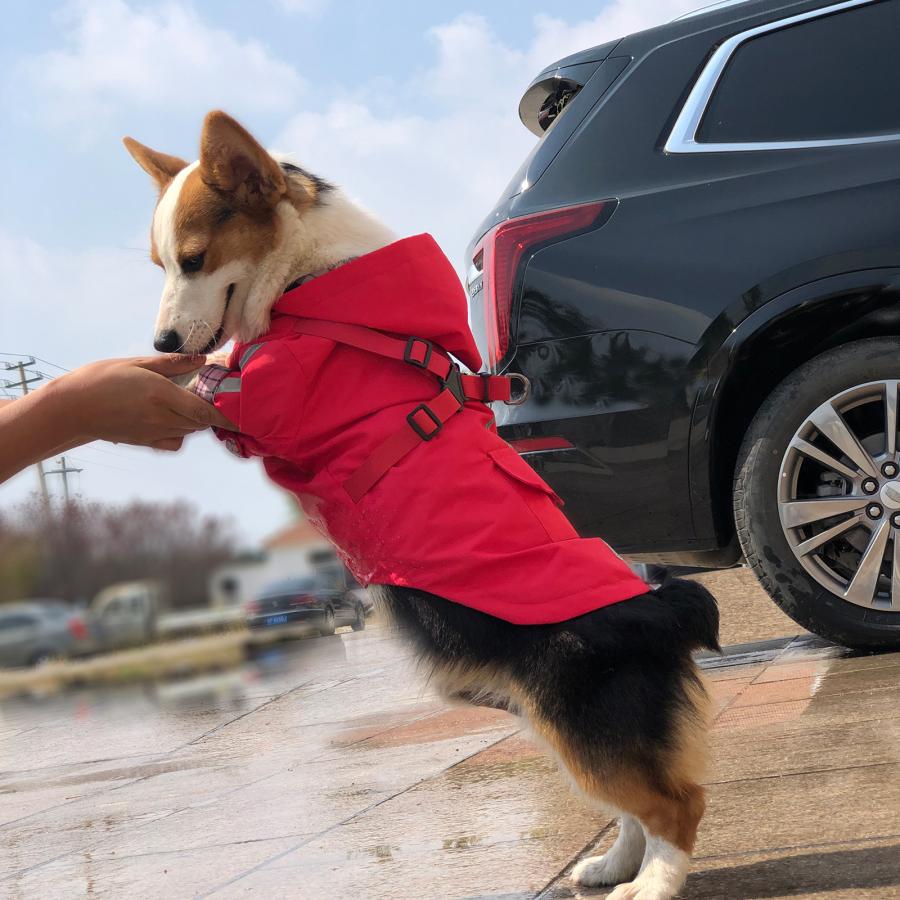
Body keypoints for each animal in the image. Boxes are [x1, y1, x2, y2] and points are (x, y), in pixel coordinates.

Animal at [125, 112, 716, 900]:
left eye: (193, 260)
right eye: (160, 264)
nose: (161, 342)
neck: (312, 279)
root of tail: (661, 611)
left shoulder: (263, 403)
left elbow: (214, 389)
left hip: (581, 716)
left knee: (677, 805)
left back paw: (652, 884)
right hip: (563, 723)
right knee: (632, 806)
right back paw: (613, 864)